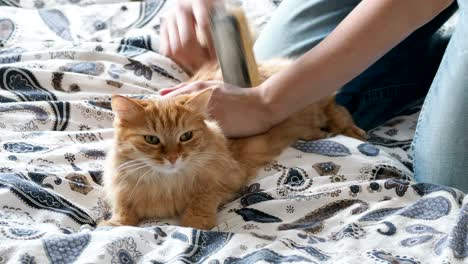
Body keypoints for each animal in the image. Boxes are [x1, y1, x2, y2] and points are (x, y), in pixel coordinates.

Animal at [101, 59, 366, 229]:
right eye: (152, 139)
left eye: (185, 137)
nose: (173, 158)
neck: (167, 184)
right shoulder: (123, 188)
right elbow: (123, 210)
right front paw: (113, 223)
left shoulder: (224, 179)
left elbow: (202, 199)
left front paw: (194, 224)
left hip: (316, 107)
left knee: (338, 109)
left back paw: (355, 134)